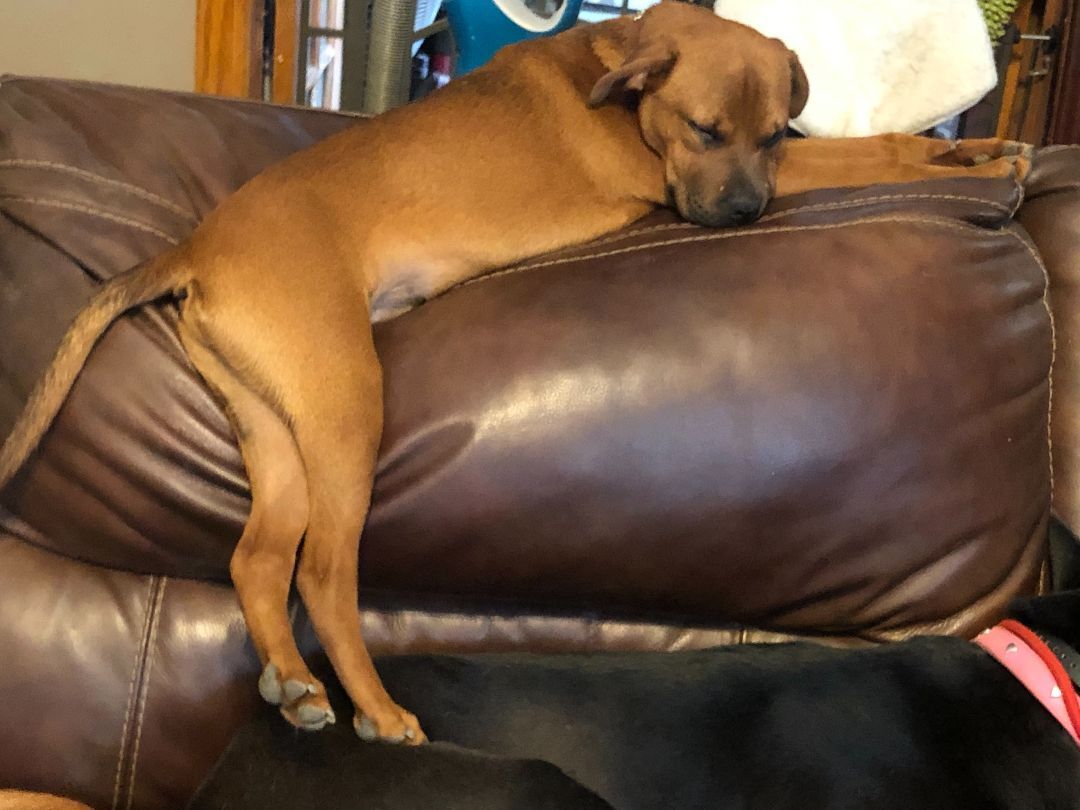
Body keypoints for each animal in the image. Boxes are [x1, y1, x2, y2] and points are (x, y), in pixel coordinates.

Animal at [0, 1, 1028, 747]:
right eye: (704, 131)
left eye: (773, 134)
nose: (745, 214)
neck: (621, 69)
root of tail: (194, 249)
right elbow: (875, 151)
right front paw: (975, 168)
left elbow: (875, 144)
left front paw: (981, 147)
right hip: (345, 400)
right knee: (325, 569)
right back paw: (377, 710)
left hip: (271, 417)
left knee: (260, 557)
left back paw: (294, 684)